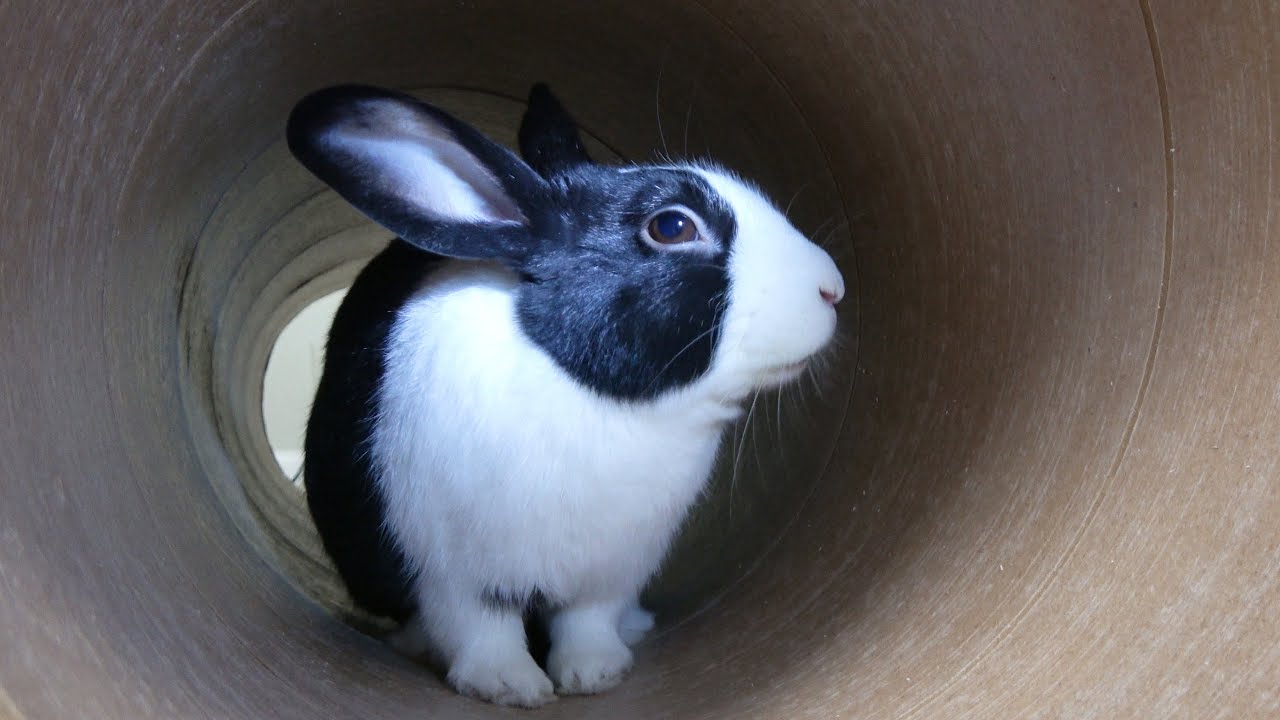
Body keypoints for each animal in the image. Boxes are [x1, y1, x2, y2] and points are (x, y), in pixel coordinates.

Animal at [287, 82, 845, 708]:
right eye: (672, 227)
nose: (833, 288)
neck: (601, 402)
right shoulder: (449, 570)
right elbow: (480, 628)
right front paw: (512, 689)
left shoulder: (612, 572)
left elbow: (586, 624)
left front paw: (595, 676)